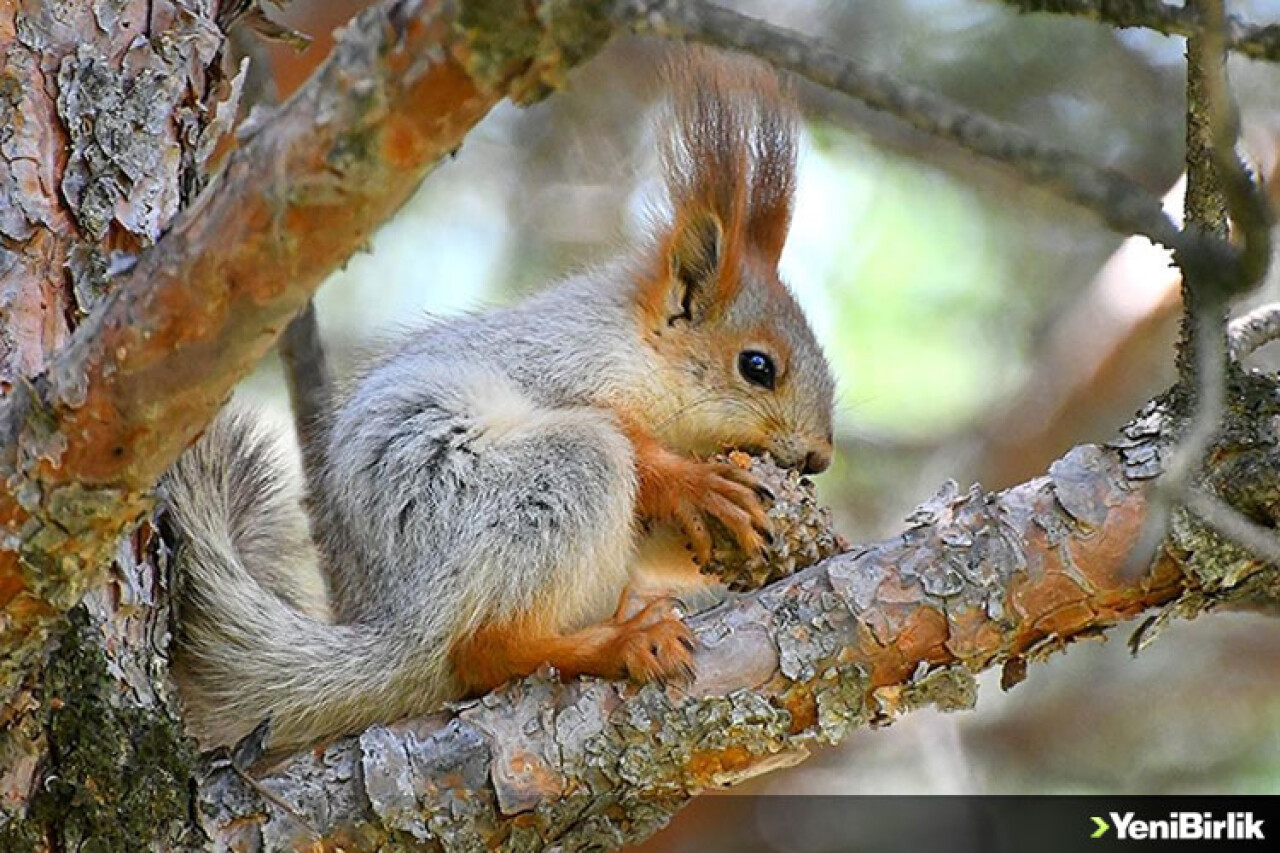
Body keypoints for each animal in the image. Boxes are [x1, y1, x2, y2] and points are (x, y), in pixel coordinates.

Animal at [160, 49, 834, 753]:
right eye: (757, 367)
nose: (819, 458)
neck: (637, 348)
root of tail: (402, 626)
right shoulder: (562, 367)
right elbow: (632, 442)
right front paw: (695, 483)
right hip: (533, 487)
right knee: (487, 648)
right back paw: (620, 642)